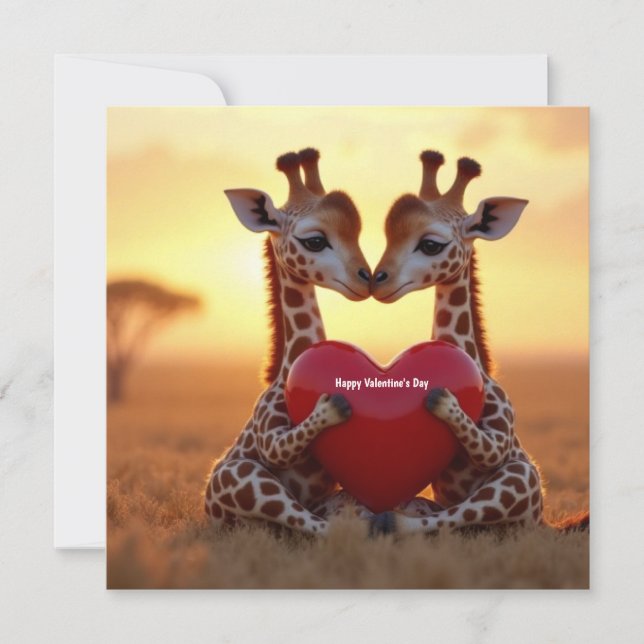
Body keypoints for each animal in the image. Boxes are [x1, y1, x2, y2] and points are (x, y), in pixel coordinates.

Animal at [205, 148, 374, 535]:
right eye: (315, 240)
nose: (367, 279)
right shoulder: (270, 441)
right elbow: (279, 446)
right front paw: (332, 407)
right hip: (240, 476)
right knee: (310, 523)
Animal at [369, 149, 546, 535]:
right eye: (387, 235)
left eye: (431, 244)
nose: (377, 281)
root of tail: (544, 521)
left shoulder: (500, 437)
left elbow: (487, 448)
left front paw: (442, 400)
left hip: (523, 478)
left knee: (458, 515)